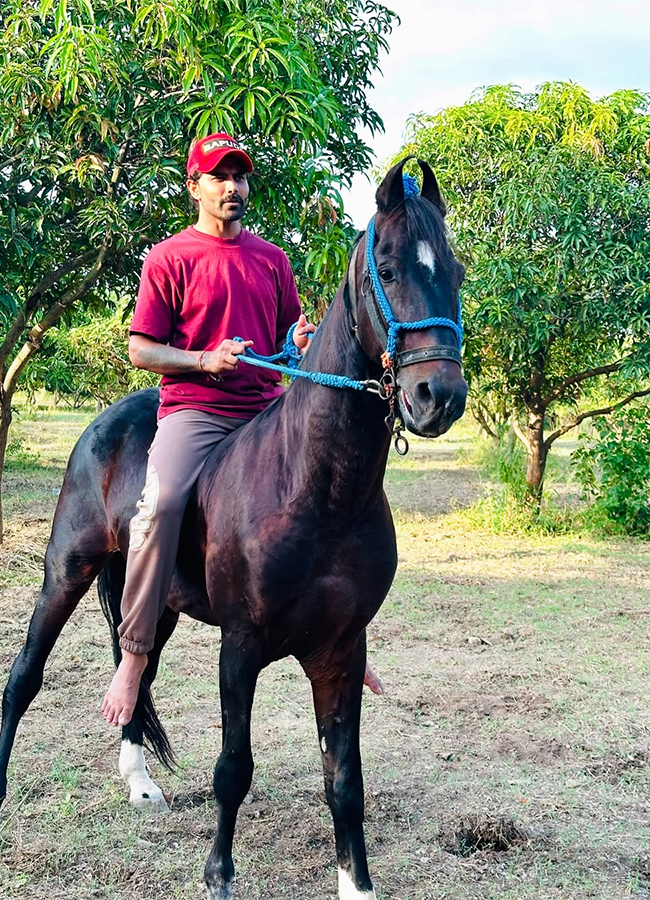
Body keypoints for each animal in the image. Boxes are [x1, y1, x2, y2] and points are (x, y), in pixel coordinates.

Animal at [0, 158, 466, 896]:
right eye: (388, 270)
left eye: (456, 271)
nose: (438, 397)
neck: (318, 490)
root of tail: (107, 421)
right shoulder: (240, 647)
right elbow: (233, 769)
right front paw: (218, 873)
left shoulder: (341, 650)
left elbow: (345, 782)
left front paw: (355, 882)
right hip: (65, 570)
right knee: (25, 675)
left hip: (156, 600)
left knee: (135, 663)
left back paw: (139, 782)